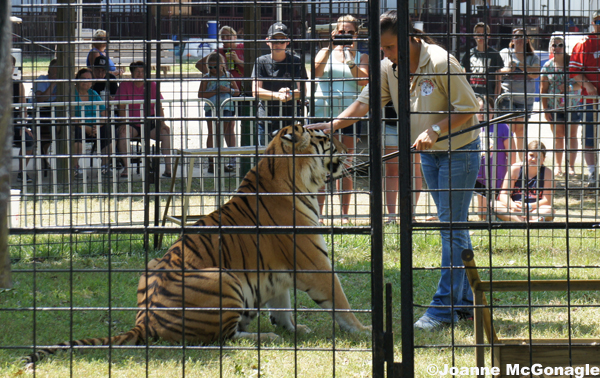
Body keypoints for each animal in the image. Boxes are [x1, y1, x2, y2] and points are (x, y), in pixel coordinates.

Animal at [25, 124, 372, 366]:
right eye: (326, 140)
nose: (348, 147)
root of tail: (143, 322)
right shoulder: (314, 263)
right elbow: (340, 301)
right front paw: (363, 331)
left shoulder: (283, 271)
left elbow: (282, 303)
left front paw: (294, 328)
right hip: (225, 279)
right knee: (224, 338)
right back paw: (266, 336)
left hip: (155, 265)